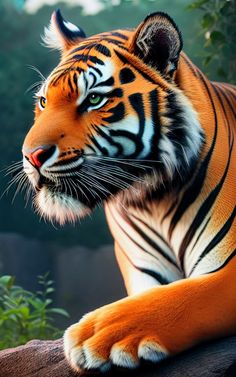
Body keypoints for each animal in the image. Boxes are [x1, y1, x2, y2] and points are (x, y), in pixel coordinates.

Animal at [21, 9, 235, 374]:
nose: (31, 156)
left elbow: (186, 295)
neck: (152, 199)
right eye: (44, 102)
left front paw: (97, 333)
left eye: (94, 99)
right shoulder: (143, 272)